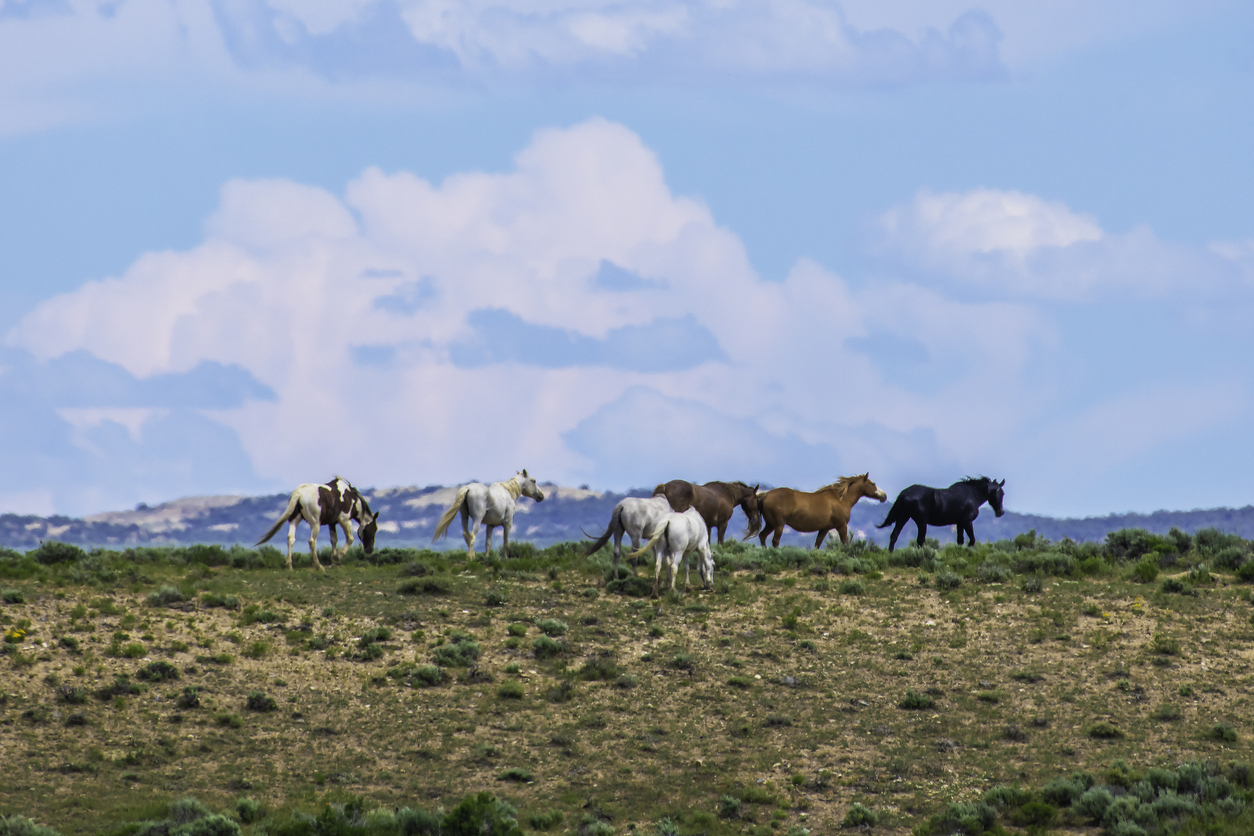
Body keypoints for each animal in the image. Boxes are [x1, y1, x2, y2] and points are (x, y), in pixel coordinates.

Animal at [753, 474, 887, 549]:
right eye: (873, 483)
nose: (884, 496)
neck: (840, 499)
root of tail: (765, 495)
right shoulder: (841, 526)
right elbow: (845, 543)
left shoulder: (824, 529)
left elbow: (817, 544)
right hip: (779, 525)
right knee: (775, 541)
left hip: (771, 524)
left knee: (762, 536)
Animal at [877, 477, 1005, 552]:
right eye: (1002, 493)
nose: (1001, 512)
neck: (972, 495)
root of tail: (905, 493)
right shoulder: (967, 521)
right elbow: (972, 540)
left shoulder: (959, 523)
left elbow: (960, 540)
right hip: (921, 522)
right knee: (920, 540)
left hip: (903, 517)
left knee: (894, 535)